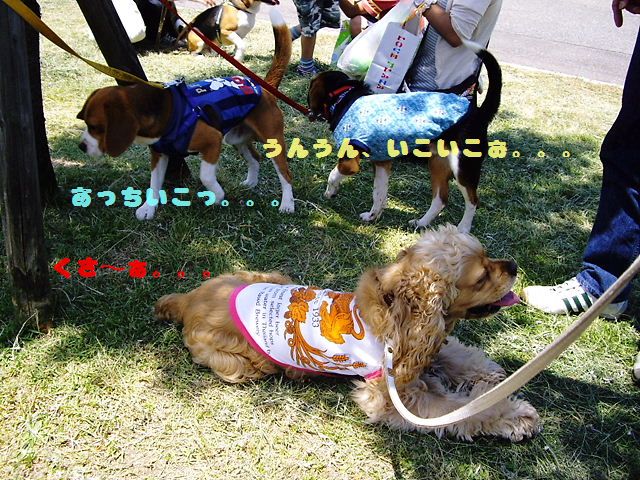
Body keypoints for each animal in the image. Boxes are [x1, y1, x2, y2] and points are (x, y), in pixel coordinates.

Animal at [77, 9, 294, 220]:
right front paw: (148, 209)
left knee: (285, 174)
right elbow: (154, 183)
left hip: (272, 140)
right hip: (236, 138)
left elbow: (205, 176)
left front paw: (217, 196)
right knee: (255, 158)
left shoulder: (212, 141)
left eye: (96, 127)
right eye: (86, 123)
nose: (81, 146)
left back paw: (287, 204)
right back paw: (251, 183)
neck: (166, 112)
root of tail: (263, 88)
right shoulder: (159, 154)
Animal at [155, 225, 540, 441]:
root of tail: (188, 300)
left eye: (488, 255)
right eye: (482, 276)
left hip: (266, 275)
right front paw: (515, 416)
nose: (514, 266)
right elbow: (463, 409)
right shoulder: (391, 396)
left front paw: (487, 373)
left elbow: (453, 353)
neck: (396, 308)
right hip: (241, 364)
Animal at [307, 41, 502, 233]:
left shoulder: (350, 162)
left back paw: (463, 229)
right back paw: (421, 223)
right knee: (440, 199)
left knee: (473, 201)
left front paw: (330, 192)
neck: (344, 97)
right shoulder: (382, 162)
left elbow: (333, 175)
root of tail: (479, 112)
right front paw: (373, 216)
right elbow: (379, 193)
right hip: (437, 163)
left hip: (462, 168)